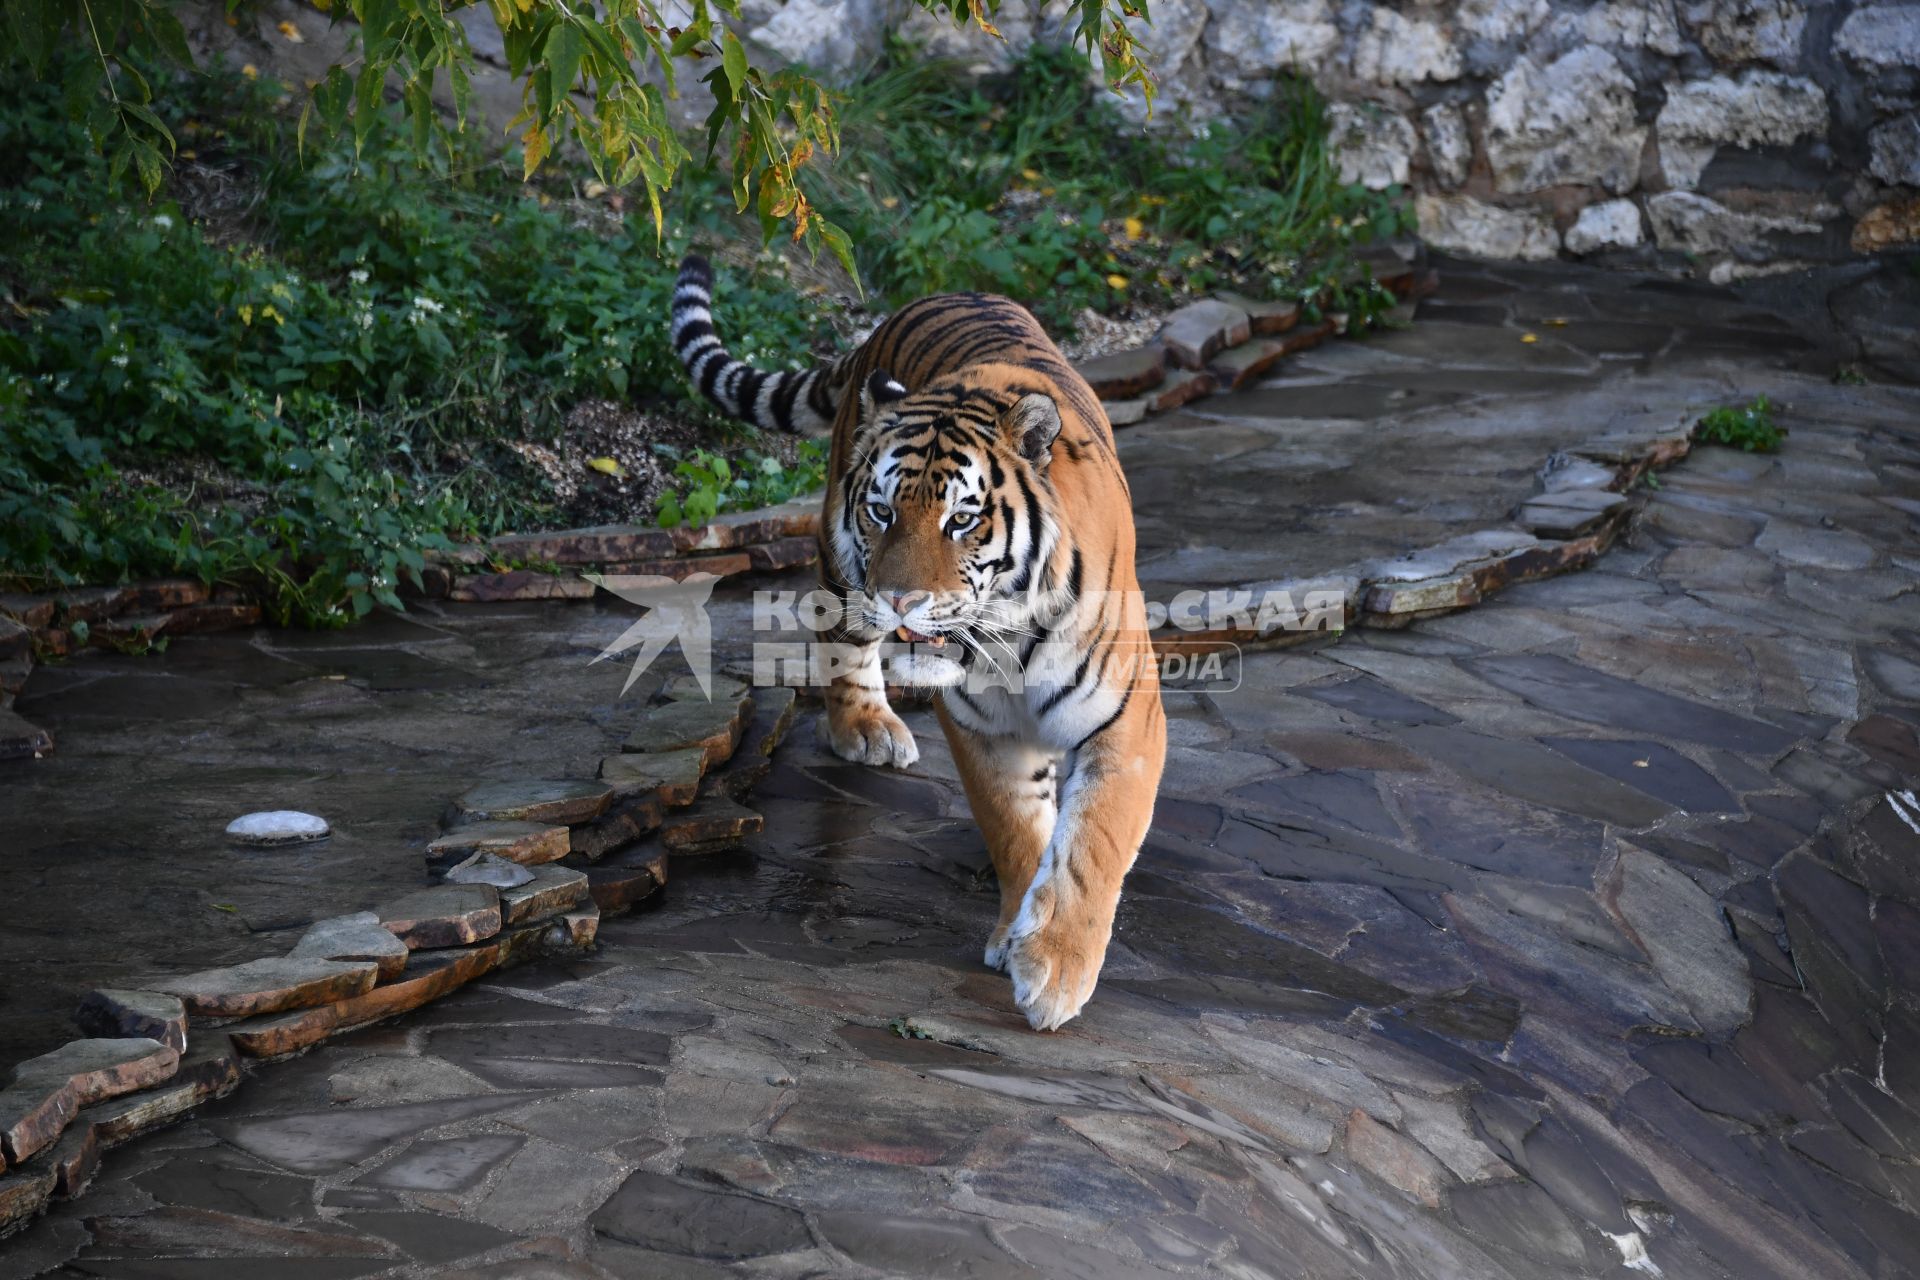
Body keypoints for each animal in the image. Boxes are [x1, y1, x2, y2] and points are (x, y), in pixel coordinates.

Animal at [668, 253, 1159, 1028]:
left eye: (962, 519)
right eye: (882, 511)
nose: (900, 599)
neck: (1011, 638)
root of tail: (922, 301)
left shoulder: (1127, 721)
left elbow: (1092, 847)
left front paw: (1055, 970)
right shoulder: (981, 726)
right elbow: (1015, 828)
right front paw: (1019, 937)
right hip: (835, 563)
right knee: (843, 649)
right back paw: (866, 728)